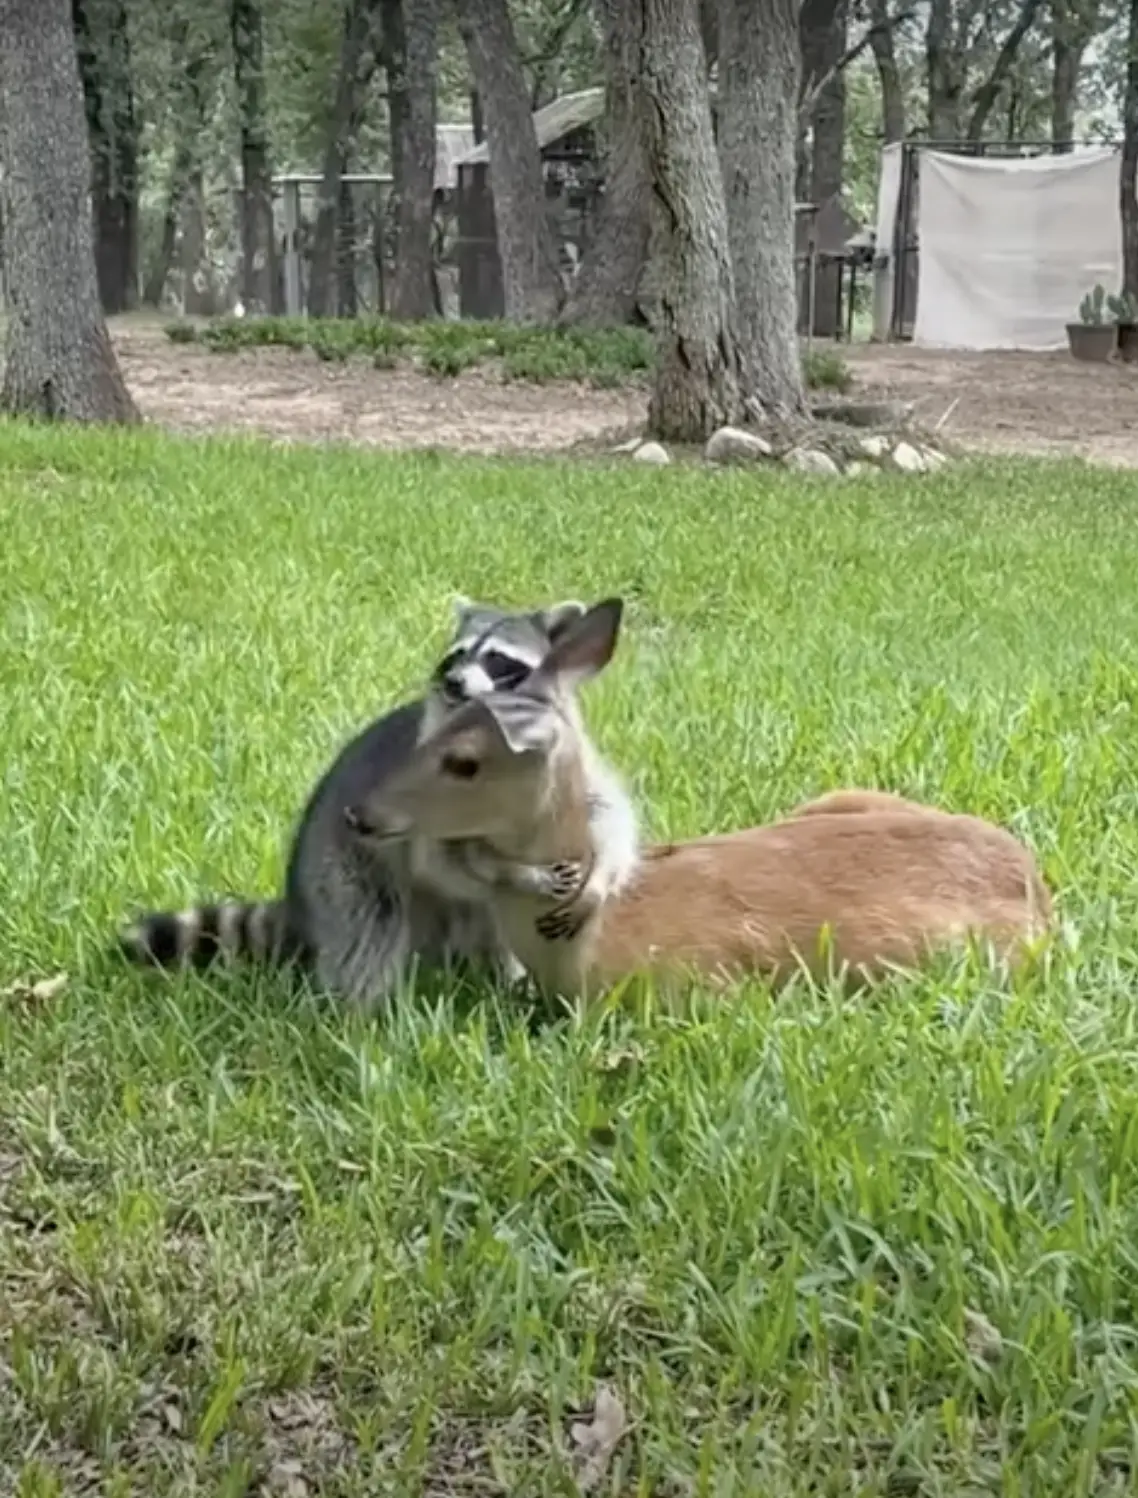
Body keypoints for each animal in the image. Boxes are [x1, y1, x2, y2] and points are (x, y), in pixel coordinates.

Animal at [119, 597, 587, 1007]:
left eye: (497, 659)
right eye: (455, 656)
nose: (453, 682)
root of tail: (300, 902)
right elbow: (440, 861)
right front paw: (519, 875)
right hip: (342, 872)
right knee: (370, 931)